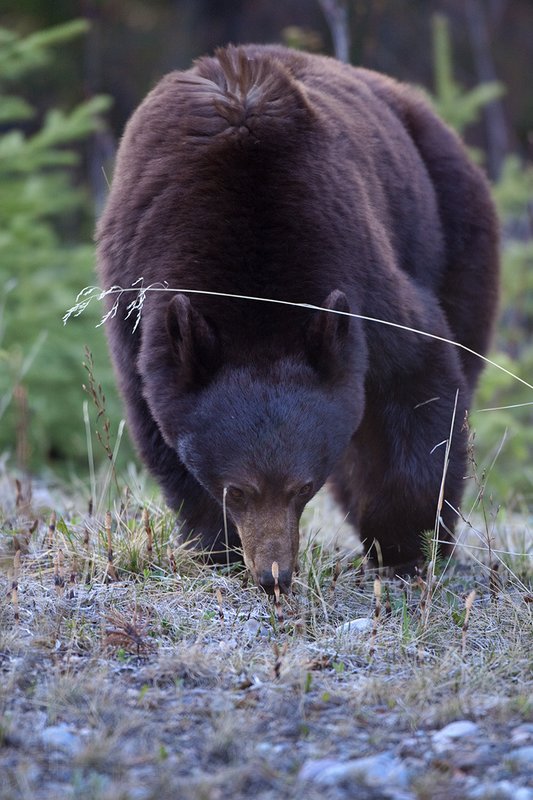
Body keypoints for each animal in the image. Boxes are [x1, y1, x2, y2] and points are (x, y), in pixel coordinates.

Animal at [96, 44, 499, 594]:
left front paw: (406, 547)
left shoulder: (359, 271)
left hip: (452, 224)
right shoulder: (135, 296)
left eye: (303, 487)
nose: (275, 575)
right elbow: (157, 426)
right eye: (237, 490)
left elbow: (417, 370)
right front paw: (216, 545)